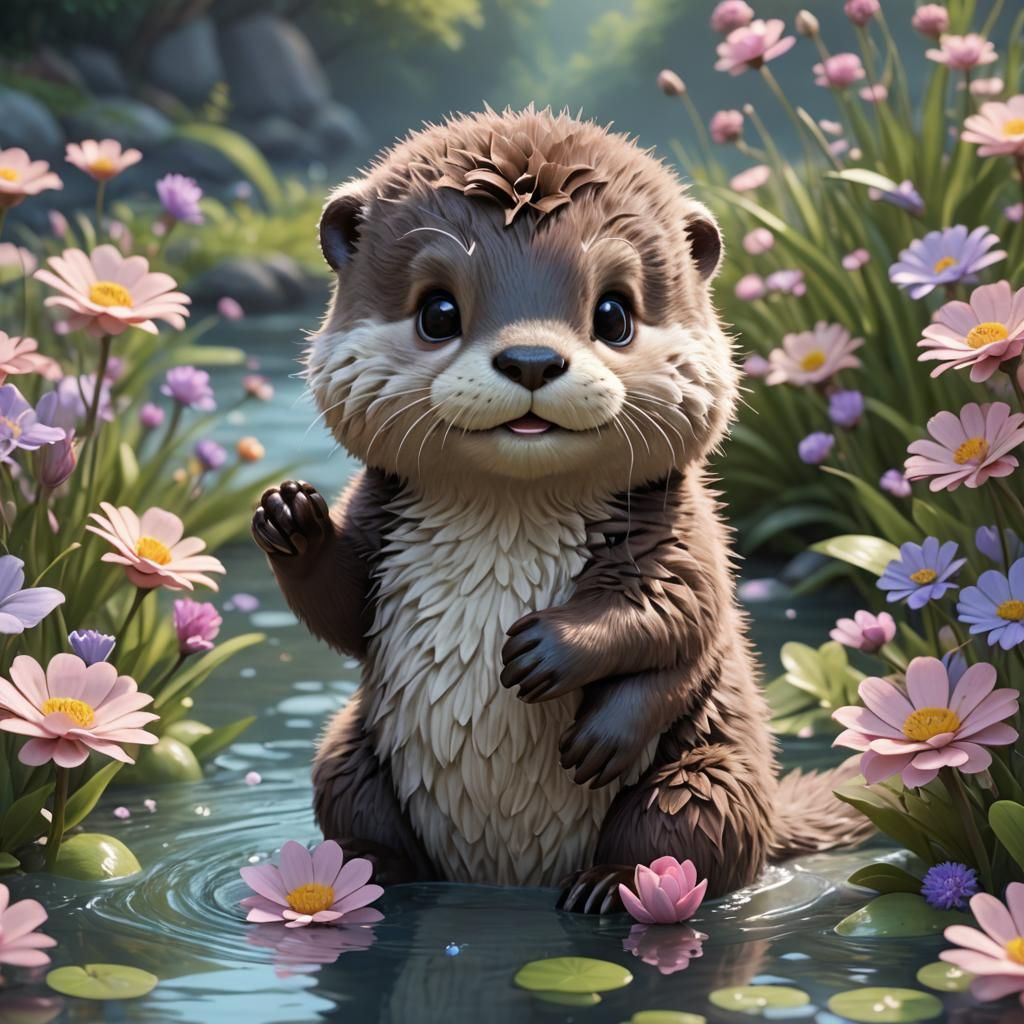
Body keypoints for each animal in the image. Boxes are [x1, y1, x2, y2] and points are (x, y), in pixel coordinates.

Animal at [252, 106, 869, 911]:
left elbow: (679, 616)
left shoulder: (686, 530)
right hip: (348, 756)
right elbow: (343, 605)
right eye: (438, 312)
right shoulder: (379, 516)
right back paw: (362, 874)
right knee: (358, 810)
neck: (507, 527)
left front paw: (550, 654)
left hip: (707, 778)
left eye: (614, 314)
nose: (532, 361)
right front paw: (289, 518)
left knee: (689, 836)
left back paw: (614, 887)